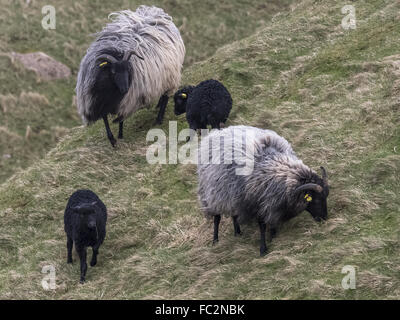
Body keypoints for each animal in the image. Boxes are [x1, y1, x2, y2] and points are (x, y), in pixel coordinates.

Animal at [76, 5, 186, 146]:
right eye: (113, 71)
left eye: (129, 69)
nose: (125, 89)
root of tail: (155, 12)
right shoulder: (100, 100)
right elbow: (105, 118)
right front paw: (112, 139)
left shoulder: (127, 101)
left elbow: (121, 118)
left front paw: (120, 135)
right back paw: (157, 106)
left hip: (170, 76)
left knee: (166, 96)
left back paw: (158, 119)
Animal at [195, 126, 330, 256]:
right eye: (315, 200)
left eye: (325, 198)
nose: (324, 218)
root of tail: (215, 133)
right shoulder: (257, 203)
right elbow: (262, 226)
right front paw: (263, 249)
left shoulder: (270, 203)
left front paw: (273, 235)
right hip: (212, 194)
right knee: (217, 218)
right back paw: (215, 240)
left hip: (232, 194)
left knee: (234, 214)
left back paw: (237, 232)